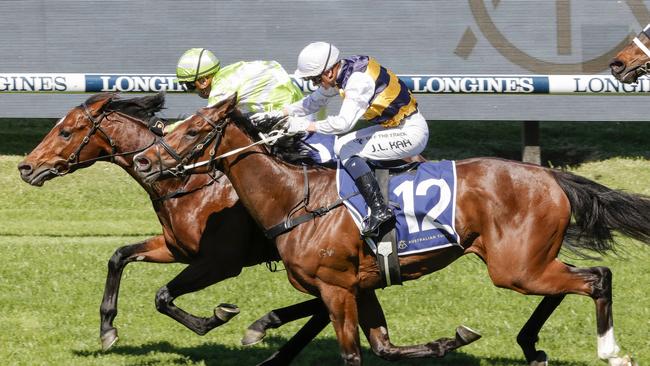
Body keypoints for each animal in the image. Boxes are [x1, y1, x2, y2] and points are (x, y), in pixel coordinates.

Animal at [17, 93, 476, 364]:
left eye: (66, 131)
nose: (25, 167)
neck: (191, 182)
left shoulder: (221, 261)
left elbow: (164, 296)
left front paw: (217, 316)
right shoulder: (177, 248)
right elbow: (118, 257)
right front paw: (108, 329)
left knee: (324, 305)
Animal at [132, 94, 644, 366]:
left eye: (194, 131)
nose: (144, 160)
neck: (296, 197)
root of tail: (549, 175)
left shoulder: (336, 288)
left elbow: (354, 353)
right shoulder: (359, 285)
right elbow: (385, 347)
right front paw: (452, 340)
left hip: (515, 267)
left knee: (596, 278)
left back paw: (610, 351)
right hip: (523, 262)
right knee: (575, 281)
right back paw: (532, 347)